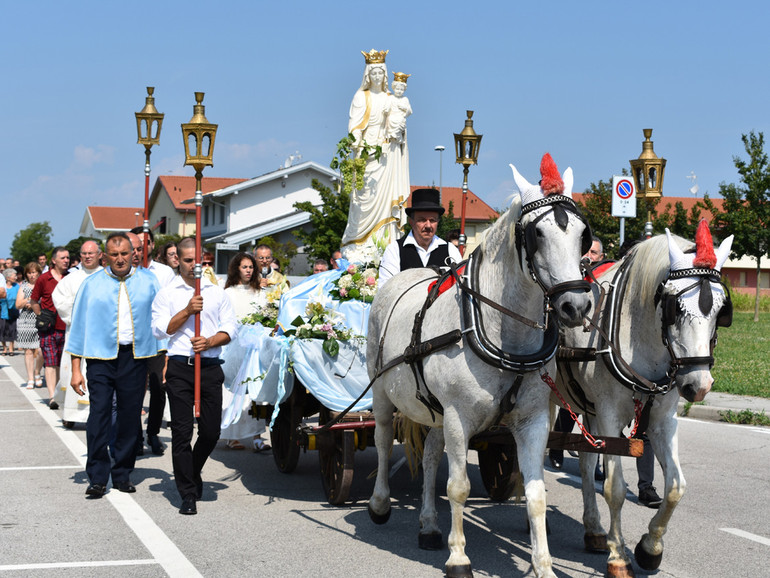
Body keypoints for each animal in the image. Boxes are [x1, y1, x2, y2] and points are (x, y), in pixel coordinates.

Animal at [368, 154, 592, 576]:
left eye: (582, 235)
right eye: (537, 234)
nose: (577, 305)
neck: (505, 335)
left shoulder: (533, 420)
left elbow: (536, 494)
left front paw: (543, 565)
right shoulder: (459, 417)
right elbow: (458, 488)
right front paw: (458, 557)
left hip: (435, 412)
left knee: (430, 456)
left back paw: (428, 525)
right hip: (382, 394)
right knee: (384, 440)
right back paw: (379, 503)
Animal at [556, 222, 728, 576]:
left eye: (721, 309)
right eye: (676, 307)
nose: (699, 385)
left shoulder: (662, 419)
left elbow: (675, 487)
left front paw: (650, 548)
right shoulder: (609, 415)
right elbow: (615, 488)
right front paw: (618, 556)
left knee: (586, 464)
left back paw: (594, 530)